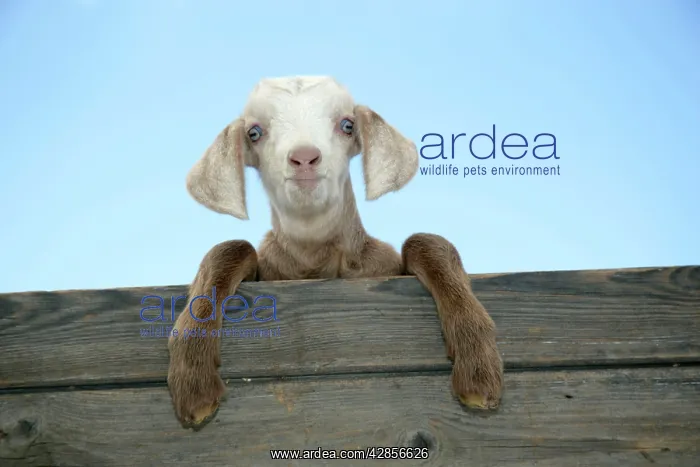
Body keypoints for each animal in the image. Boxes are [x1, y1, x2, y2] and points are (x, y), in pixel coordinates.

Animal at [167, 76, 503, 429]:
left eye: (347, 125)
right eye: (254, 132)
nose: (304, 158)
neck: (317, 258)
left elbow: (424, 240)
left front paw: (478, 363)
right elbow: (231, 248)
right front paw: (194, 376)